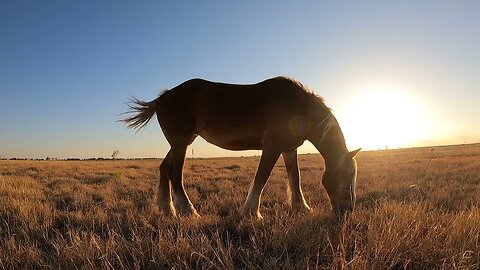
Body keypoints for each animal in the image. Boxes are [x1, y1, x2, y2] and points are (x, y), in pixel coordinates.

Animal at [121, 76, 360, 219]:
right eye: (347, 175)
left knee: (164, 168)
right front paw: (251, 213)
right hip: (181, 144)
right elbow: (261, 178)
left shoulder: (288, 149)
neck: (298, 105)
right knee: (175, 175)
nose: (347, 210)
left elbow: (295, 177)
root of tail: (162, 98)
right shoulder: (272, 147)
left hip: (181, 143)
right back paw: (189, 211)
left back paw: (167, 209)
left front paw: (301, 207)